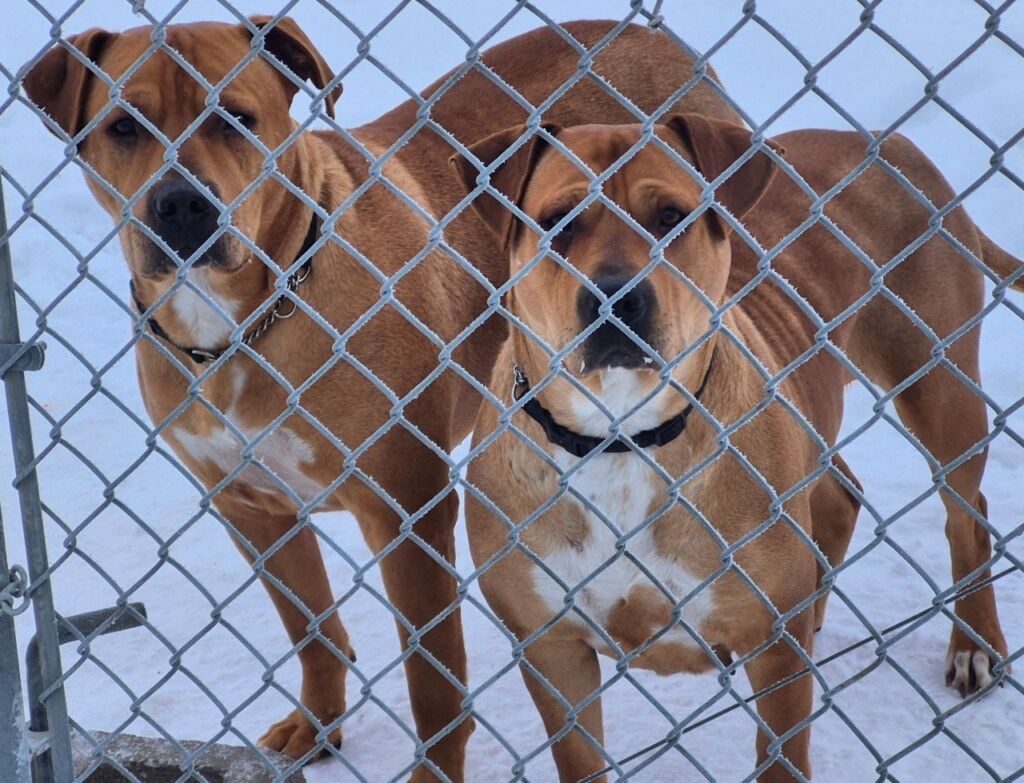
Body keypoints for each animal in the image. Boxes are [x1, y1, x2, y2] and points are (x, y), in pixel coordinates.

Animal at [21, 16, 743, 780]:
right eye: (123, 127)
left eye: (236, 119)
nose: (183, 204)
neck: (247, 323)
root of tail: (652, 34)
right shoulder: (252, 509)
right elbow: (311, 627)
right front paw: (318, 721)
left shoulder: (407, 512)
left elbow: (432, 677)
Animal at [453, 115, 1022, 780]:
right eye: (558, 222)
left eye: (670, 217)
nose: (615, 298)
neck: (619, 439)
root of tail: (885, 140)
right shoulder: (553, 650)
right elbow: (581, 756)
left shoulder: (773, 652)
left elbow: (781, 756)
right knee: (841, 496)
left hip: (939, 386)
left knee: (967, 515)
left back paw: (974, 645)